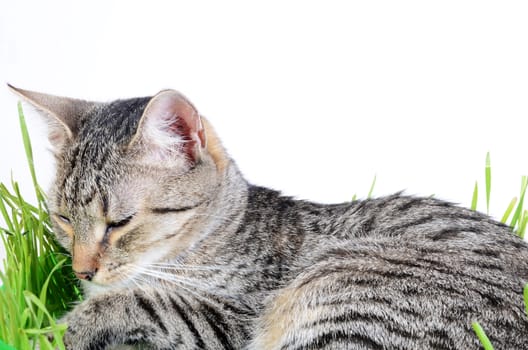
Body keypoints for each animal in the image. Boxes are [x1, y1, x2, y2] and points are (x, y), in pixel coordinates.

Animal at [7, 85, 528, 350]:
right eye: (63, 219)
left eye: (120, 222)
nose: (81, 270)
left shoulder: (229, 317)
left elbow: (135, 303)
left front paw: (51, 331)